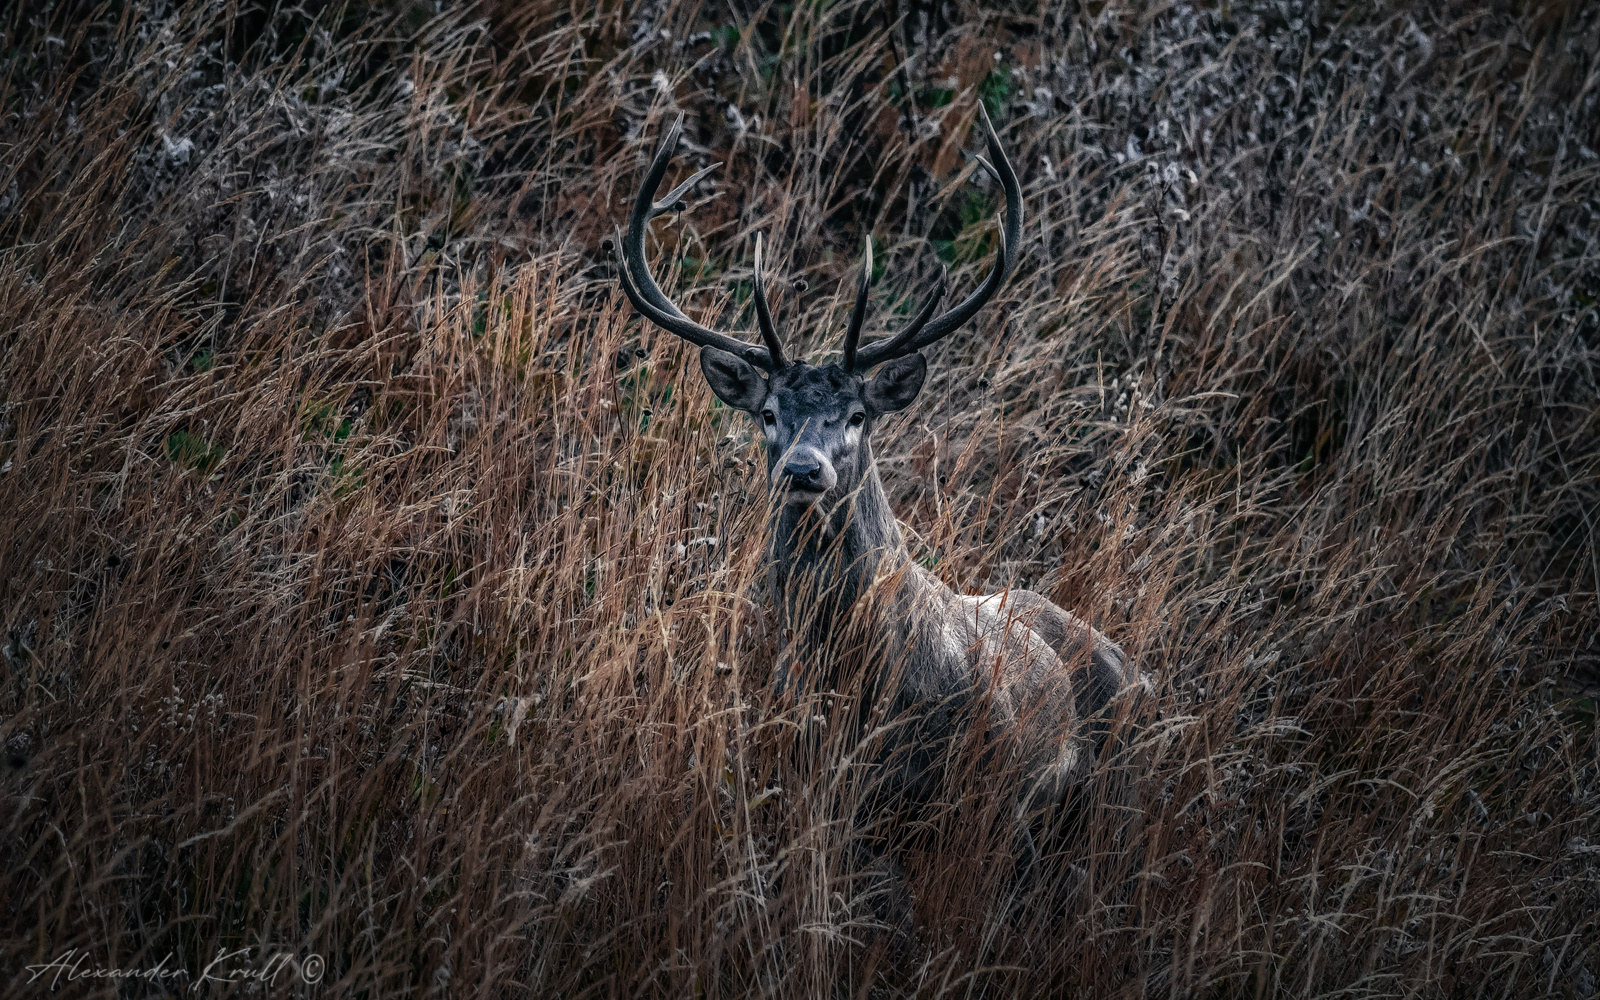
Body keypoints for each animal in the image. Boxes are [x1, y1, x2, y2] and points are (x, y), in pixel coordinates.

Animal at [613, 108, 1144, 872]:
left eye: (858, 414)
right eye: (767, 413)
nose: (803, 469)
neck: (863, 682)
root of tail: (1134, 669)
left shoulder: (973, 801)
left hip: (1110, 801)